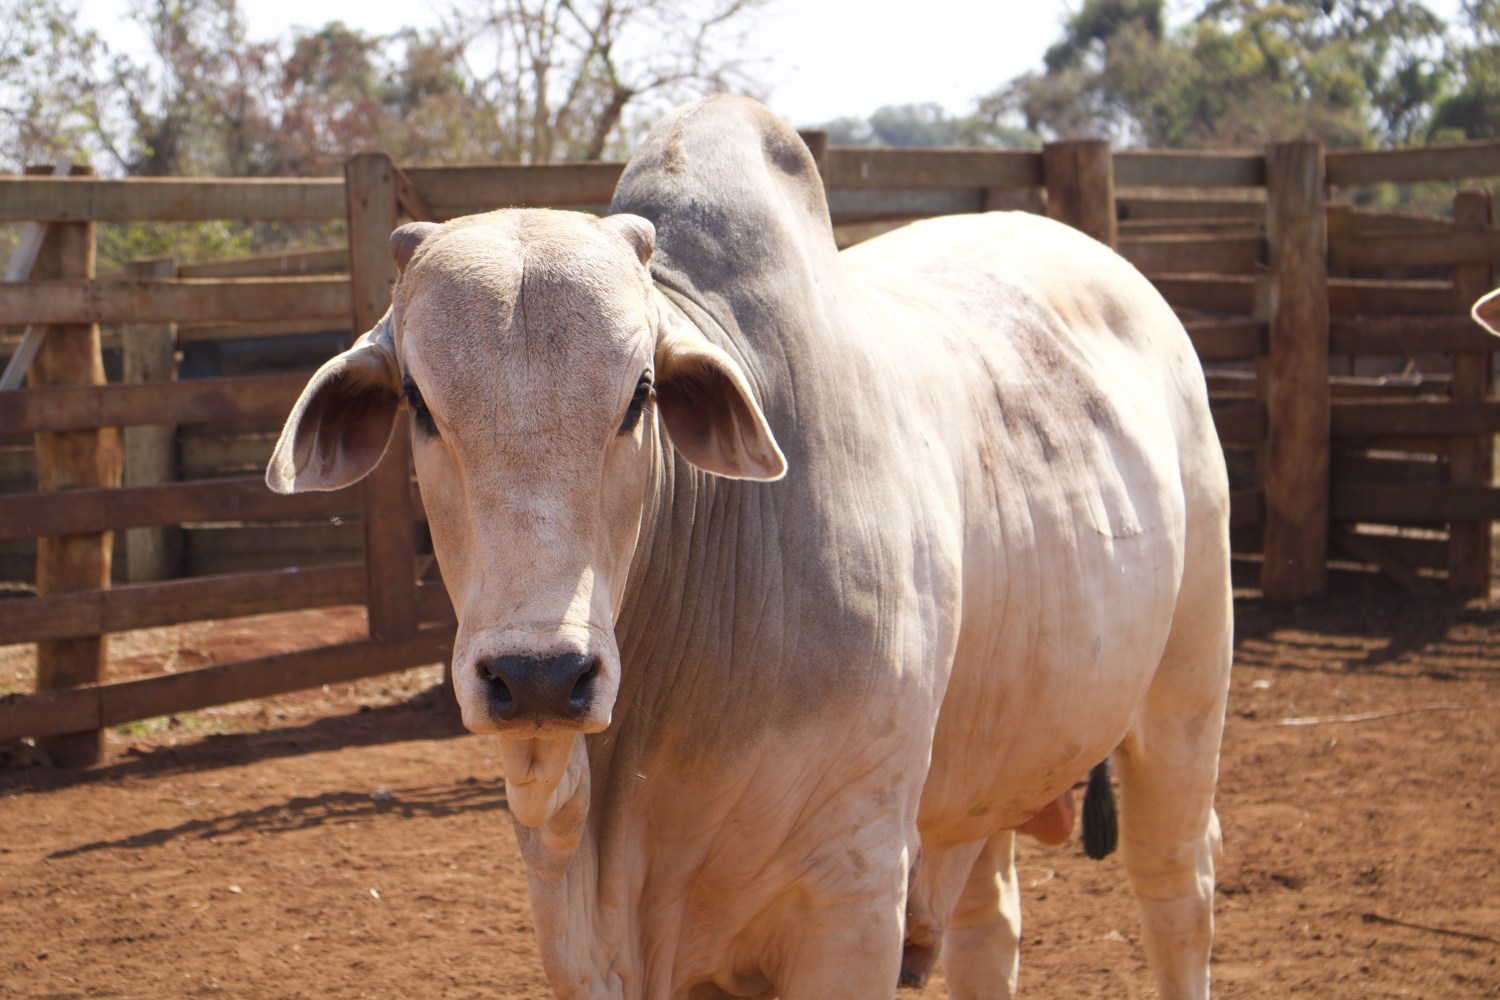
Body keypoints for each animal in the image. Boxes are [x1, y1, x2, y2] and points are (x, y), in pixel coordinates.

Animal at [267, 95, 1230, 1000]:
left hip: (1185, 689)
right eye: (419, 402)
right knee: (989, 926)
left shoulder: (854, 898)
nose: (538, 676)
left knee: (1177, 885)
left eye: (640, 395)